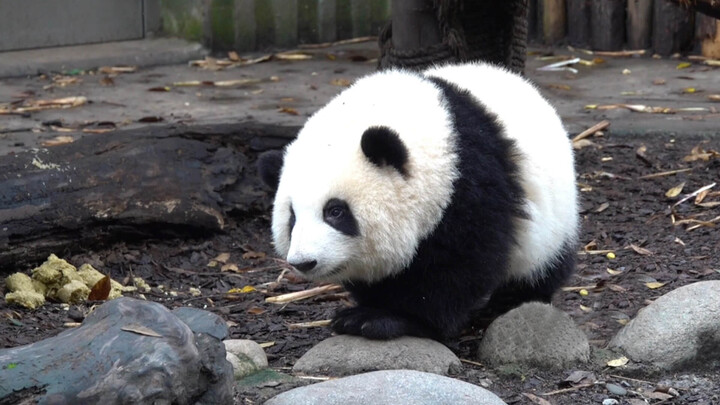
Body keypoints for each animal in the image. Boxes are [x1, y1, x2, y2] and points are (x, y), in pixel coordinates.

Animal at [258, 62, 580, 340]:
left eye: (335, 211)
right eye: (292, 218)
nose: (304, 261)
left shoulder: (469, 181)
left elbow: (460, 262)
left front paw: (394, 320)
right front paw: (367, 311)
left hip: (555, 217)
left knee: (542, 264)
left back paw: (511, 301)